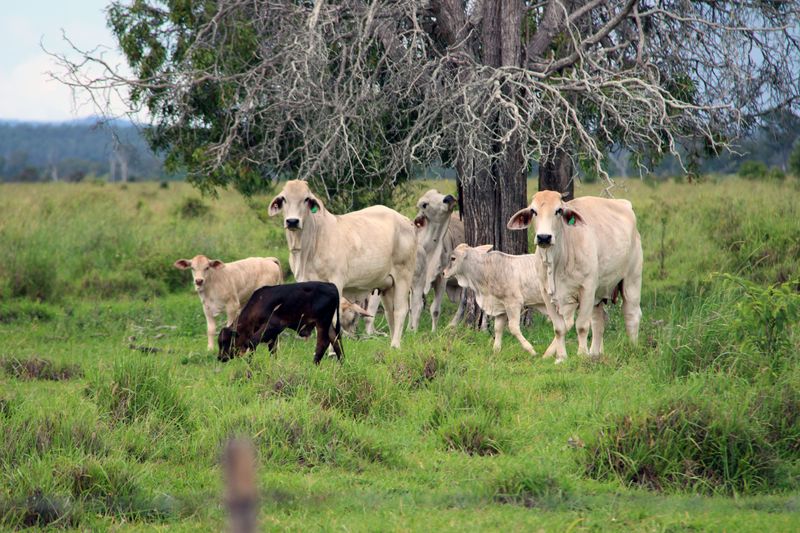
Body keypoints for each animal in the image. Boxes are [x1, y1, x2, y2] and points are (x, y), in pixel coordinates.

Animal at [268, 180, 417, 348]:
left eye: (306, 199)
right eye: (283, 199)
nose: (292, 221)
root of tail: (406, 220)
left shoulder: (336, 282)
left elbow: (332, 319)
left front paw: (332, 350)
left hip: (404, 276)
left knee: (400, 310)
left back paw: (395, 345)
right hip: (387, 285)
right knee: (389, 312)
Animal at [409, 189, 467, 331]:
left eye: (438, 192)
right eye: (424, 204)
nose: (449, 198)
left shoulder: (441, 278)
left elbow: (434, 310)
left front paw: (433, 332)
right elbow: (413, 308)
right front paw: (410, 329)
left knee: (463, 301)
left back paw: (453, 324)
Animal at [507, 191, 642, 362]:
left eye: (558, 210)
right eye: (533, 211)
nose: (544, 237)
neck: (556, 261)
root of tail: (625, 204)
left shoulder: (587, 288)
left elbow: (582, 326)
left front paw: (581, 355)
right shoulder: (546, 294)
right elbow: (559, 328)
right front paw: (561, 358)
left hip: (632, 280)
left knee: (631, 314)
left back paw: (633, 348)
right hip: (598, 295)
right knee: (598, 321)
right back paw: (595, 354)